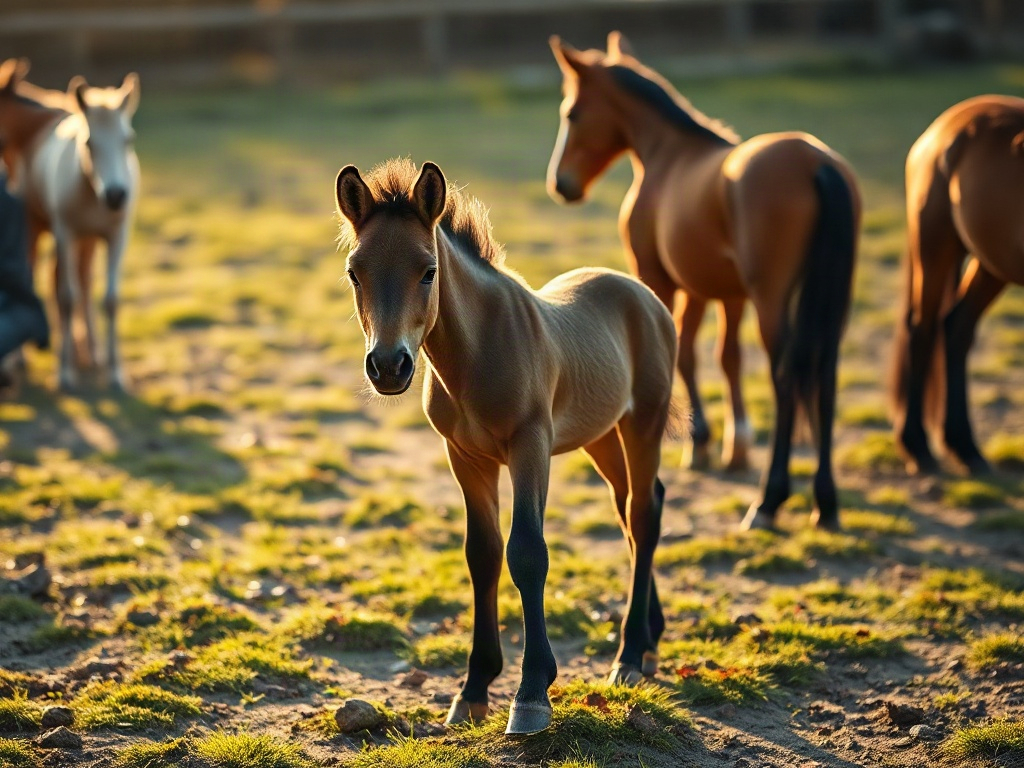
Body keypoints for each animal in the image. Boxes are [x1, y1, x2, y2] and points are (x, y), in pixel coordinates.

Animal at [22, 72, 140, 391]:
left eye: (128, 140)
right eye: (89, 143)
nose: (116, 195)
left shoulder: (117, 236)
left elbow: (110, 300)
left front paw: (115, 373)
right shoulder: (65, 233)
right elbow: (66, 297)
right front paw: (65, 373)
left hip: (87, 241)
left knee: (85, 282)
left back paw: (93, 352)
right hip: (39, 228)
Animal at [335, 159, 676, 734]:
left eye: (428, 270)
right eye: (355, 272)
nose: (388, 366)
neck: (479, 352)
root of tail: (642, 293)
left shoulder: (529, 445)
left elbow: (527, 552)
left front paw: (532, 693)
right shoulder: (465, 457)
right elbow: (484, 554)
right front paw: (473, 689)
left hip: (641, 425)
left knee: (644, 515)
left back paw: (629, 656)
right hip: (601, 439)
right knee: (634, 510)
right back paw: (649, 638)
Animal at [547, 32, 861, 532]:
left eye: (572, 113)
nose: (561, 184)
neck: (670, 155)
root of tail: (816, 163)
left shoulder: (661, 280)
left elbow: (686, 355)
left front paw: (701, 443)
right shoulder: (721, 293)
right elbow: (722, 357)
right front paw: (732, 446)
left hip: (772, 301)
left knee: (787, 376)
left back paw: (770, 499)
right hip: (829, 300)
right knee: (822, 374)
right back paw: (825, 501)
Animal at [892, 95, 1024, 475]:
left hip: (992, 261)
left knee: (957, 327)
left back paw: (964, 447)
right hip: (936, 245)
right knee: (922, 329)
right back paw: (918, 447)